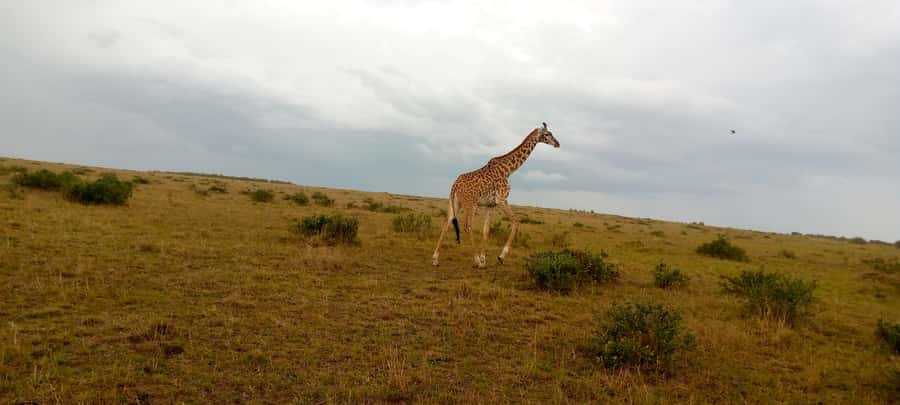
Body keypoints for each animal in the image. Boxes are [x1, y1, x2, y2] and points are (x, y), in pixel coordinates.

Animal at [431, 122, 560, 268]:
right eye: (547, 134)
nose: (557, 143)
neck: (509, 170)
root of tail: (455, 186)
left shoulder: (490, 205)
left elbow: (486, 230)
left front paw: (484, 259)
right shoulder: (502, 199)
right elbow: (515, 222)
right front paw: (499, 257)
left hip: (455, 203)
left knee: (446, 224)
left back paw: (435, 259)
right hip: (471, 204)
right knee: (467, 226)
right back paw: (475, 260)